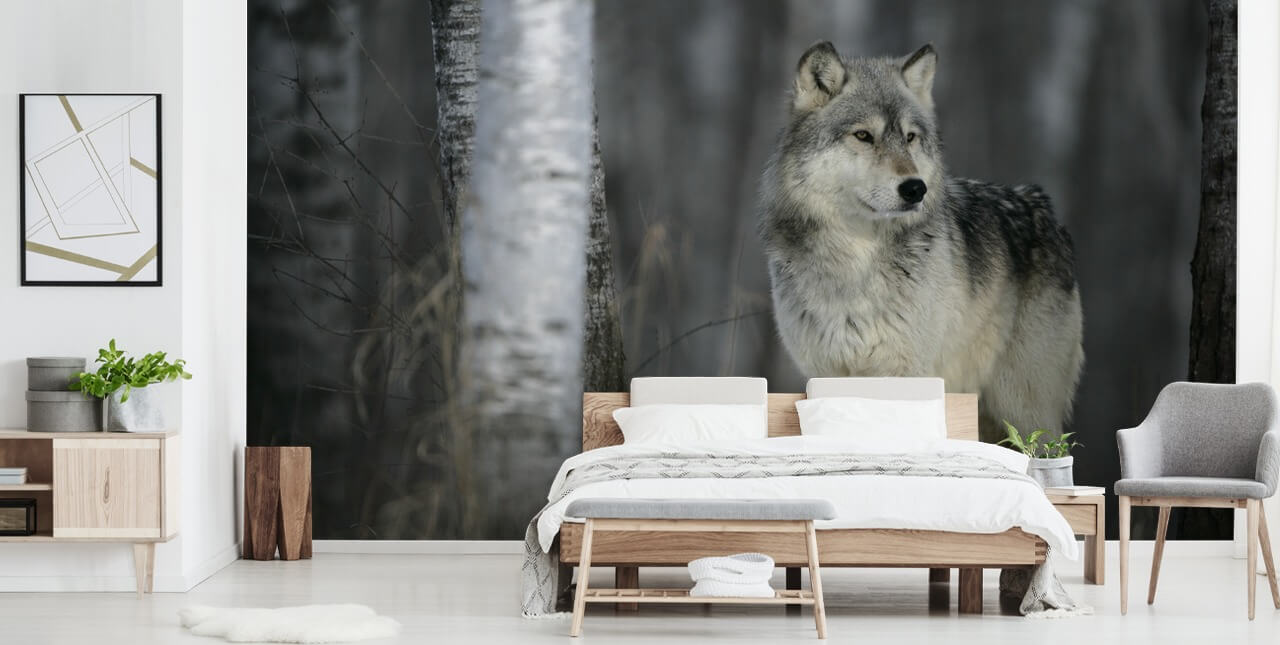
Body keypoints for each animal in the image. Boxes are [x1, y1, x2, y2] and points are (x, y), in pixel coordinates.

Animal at [759, 42, 1084, 442]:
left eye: (910, 138)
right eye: (863, 136)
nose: (915, 188)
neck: (855, 263)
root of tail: (1041, 204)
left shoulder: (905, 372)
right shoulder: (824, 374)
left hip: (1022, 411)